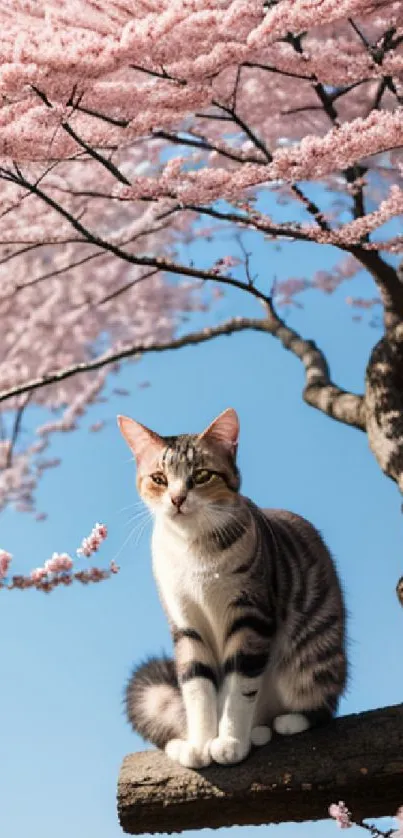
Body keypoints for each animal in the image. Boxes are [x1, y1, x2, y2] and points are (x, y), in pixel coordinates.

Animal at [117, 406, 348, 768]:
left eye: (201, 476)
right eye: (158, 479)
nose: (177, 498)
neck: (192, 547)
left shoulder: (250, 617)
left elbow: (239, 686)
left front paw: (230, 743)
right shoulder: (186, 624)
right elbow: (196, 687)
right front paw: (200, 745)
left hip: (314, 656)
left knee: (320, 705)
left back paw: (281, 724)